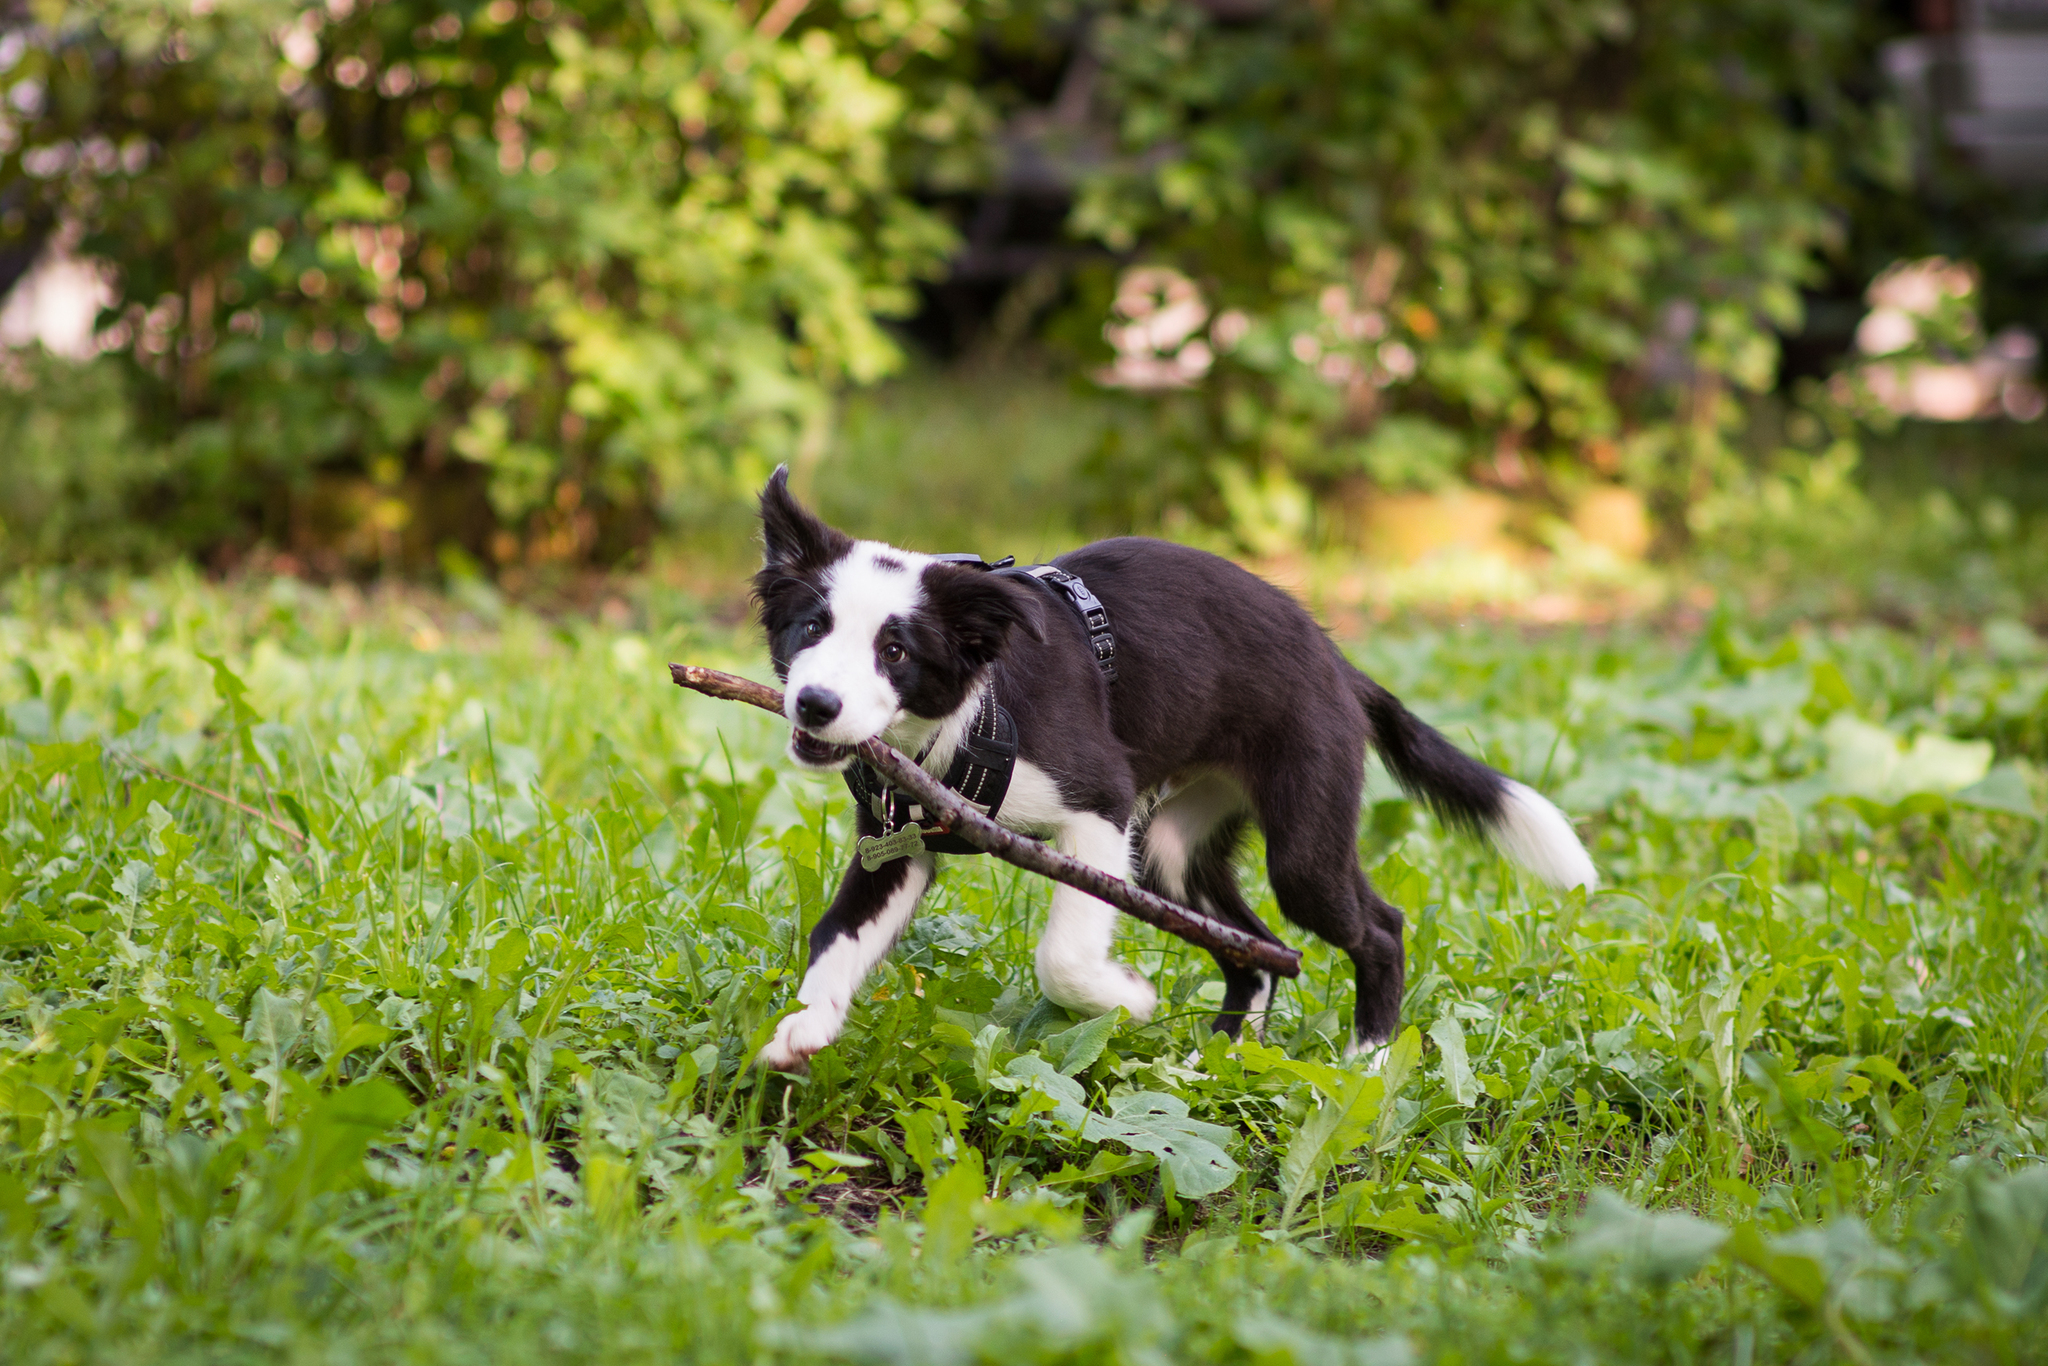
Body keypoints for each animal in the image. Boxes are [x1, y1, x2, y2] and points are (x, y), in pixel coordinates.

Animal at [753, 473, 1597, 1081]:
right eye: (811, 628)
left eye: (894, 652)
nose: (816, 705)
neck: (964, 715)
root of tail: (1340, 665)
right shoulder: (897, 843)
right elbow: (836, 937)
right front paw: (804, 1028)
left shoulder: (1098, 806)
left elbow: (1063, 956)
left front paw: (1127, 999)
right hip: (1168, 849)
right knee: (1257, 948)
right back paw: (1220, 1059)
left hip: (1300, 836)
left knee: (1378, 927)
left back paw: (1370, 1057)